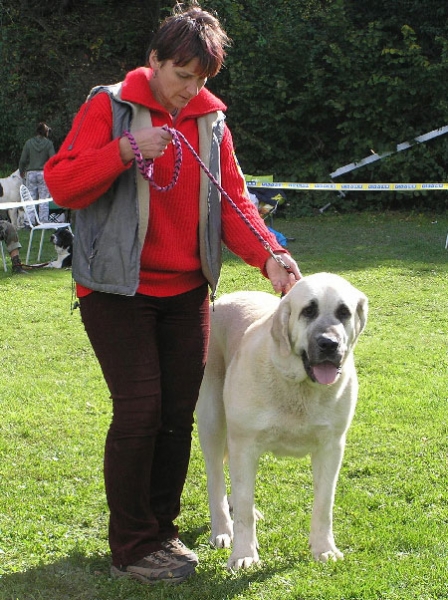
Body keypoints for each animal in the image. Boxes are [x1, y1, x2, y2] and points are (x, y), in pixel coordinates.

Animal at [196, 274, 368, 568]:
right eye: (308, 311)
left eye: (343, 312)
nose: (329, 343)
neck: (298, 386)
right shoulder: (244, 443)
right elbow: (244, 508)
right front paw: (244, 554)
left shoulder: (331, 447)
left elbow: (324, 503)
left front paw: (324, 548)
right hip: (212, 420)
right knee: (216, 478)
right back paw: (222, 529)